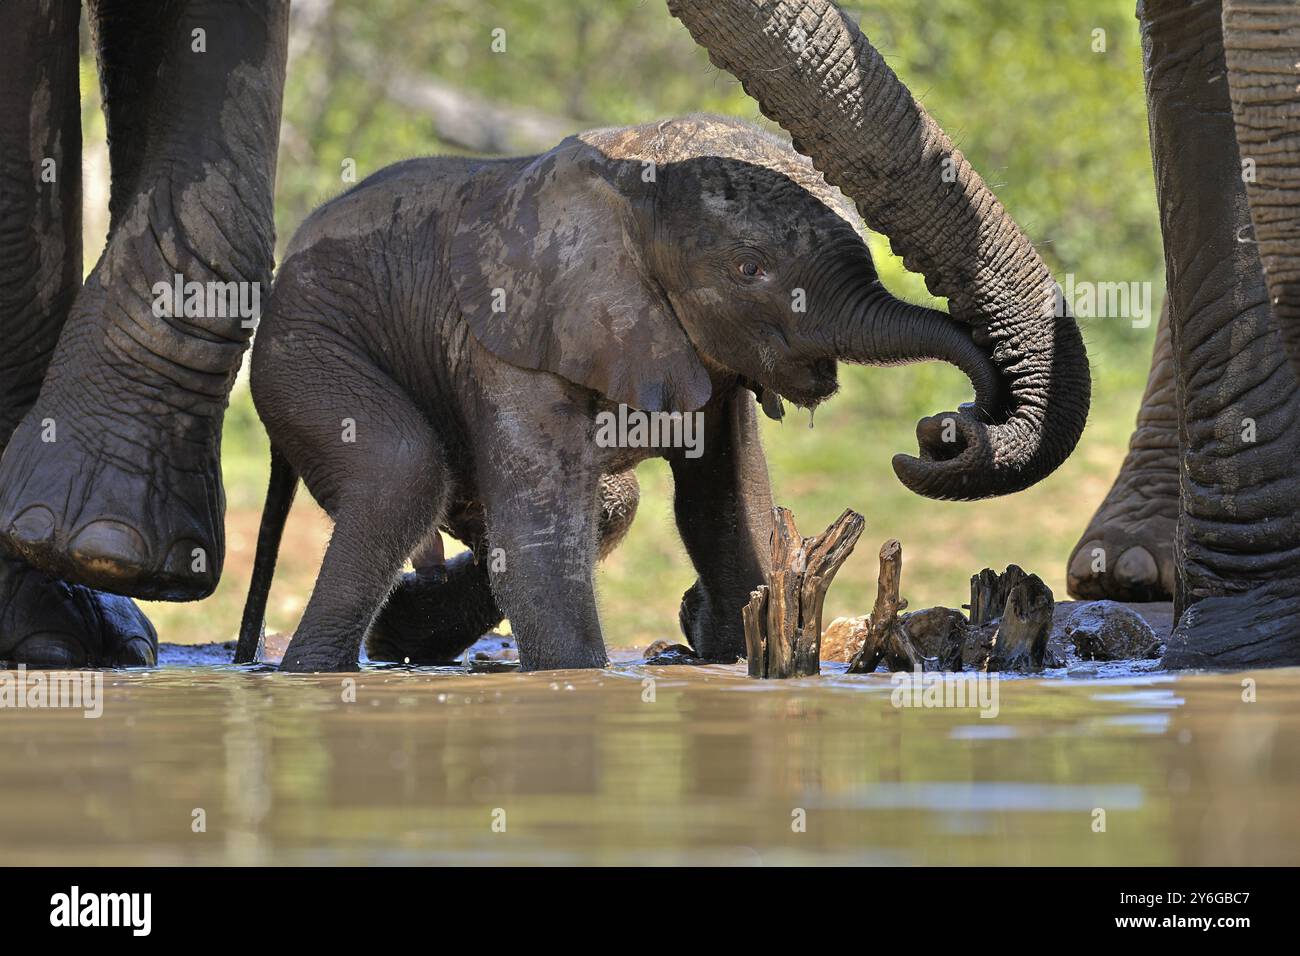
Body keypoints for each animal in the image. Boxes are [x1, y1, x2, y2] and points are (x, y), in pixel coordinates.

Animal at [236, 115, 1003, 671]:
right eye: (748, 269)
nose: (956, 421)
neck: (633, 172)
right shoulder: (509, 334)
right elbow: (541, 541)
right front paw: (580, 679)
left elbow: (727, 505)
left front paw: (731, 655)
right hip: (302, 345)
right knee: (402, 471)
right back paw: (318, 671)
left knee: (608, 500)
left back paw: (402, 640)